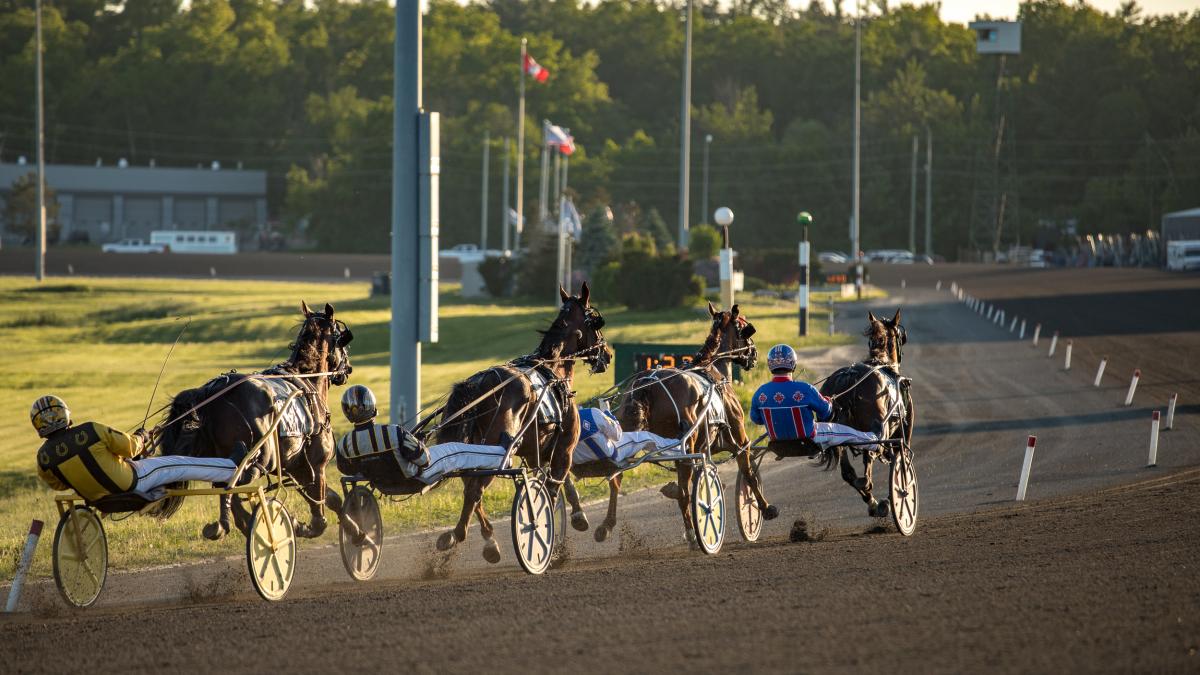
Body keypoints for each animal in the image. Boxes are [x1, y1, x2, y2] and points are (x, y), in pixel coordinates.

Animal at [157, 299, 350, 535]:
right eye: (341, 338)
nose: (347, 369)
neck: (307, 379)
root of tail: (213, 394)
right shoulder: (317, 465)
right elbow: (319, 518)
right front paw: (298, 525)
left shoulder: (296, 467)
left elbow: (334, 500)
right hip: (261, 456)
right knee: (236, 483)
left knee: (227, 490)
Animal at [434, 282, 609, 562]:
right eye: (597, 322)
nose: (608, 354)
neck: (553, 369)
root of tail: (482, 382)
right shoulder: (565, 448)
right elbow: (553, 487)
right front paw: (548, 533)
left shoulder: (538, 450)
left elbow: (563, 482)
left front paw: (577, 515)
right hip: (498, 448)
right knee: (475, 490)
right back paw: (458, 534)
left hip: (475, 449)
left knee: (470, 486)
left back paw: (486, 542)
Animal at [614, 302, 763, 542]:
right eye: (745, 326)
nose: (754, 353)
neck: (713, 370)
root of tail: (647, 384)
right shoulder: (739, 440)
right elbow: (749, 474)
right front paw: (765, 508)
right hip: (686, 445)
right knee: (685, 493)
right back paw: (694, 533)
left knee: (615, 478)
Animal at [820, 309, 912, 514]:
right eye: (901, 337)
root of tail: (849, 377)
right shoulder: (903, 429)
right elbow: (900, 460)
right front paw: (896, 497)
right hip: (877, 428)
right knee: (870, 454)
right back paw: (875, 494)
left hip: (836, 436)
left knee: (848, 472)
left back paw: (872, 501)